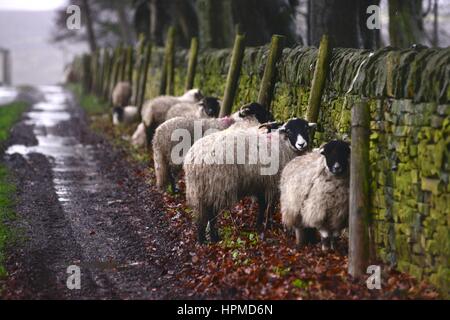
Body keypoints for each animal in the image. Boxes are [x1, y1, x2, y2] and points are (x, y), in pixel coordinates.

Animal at [183, 119, 316, 244]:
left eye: (306, 128)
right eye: (289, 131)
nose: (301, 144)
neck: (283, 144)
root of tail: (193, 160)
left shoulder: (260, 184)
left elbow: (263, 205)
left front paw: (261, 224)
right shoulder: (271, 183)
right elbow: (268, 206)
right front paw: (266, 225)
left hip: (201, 190)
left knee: (202, 216)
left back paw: (202, 240)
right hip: (216, 187)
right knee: (211, 215)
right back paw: (213, 238)